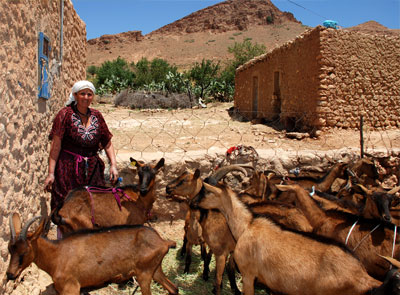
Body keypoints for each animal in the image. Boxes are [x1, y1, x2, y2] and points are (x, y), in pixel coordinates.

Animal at [5, 214, 178, 295]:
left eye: (24, 252)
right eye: (9, 249)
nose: (10, 274)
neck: (57, 255)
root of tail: (162, 242)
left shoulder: (71, 288)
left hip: (144, 274)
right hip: (155, 270)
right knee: (174, 288)